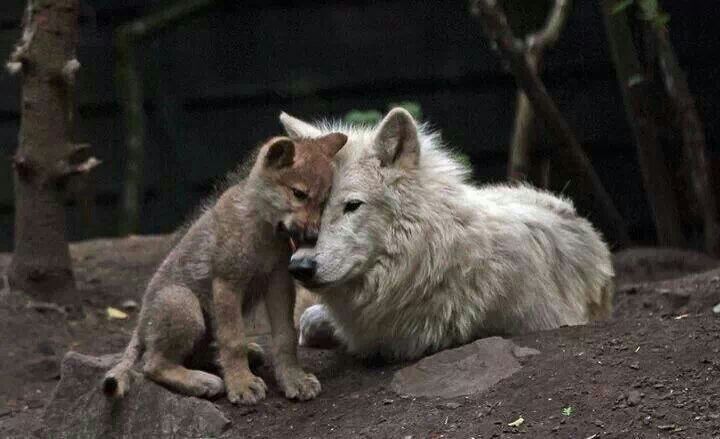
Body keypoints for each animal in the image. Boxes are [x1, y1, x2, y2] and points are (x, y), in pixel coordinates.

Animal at [103, 133, 347, 404]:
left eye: (324, 202)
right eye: (299, 194)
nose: (314, 237)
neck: (260, 230)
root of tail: (140, 323)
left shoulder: (279, 284)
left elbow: (286, 337)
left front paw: (294, 379)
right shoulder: (227, 284)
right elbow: (233, 340)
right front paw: (241, 384)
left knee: (195, 354)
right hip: (184, 303)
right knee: (153, 364)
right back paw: (202, 381)